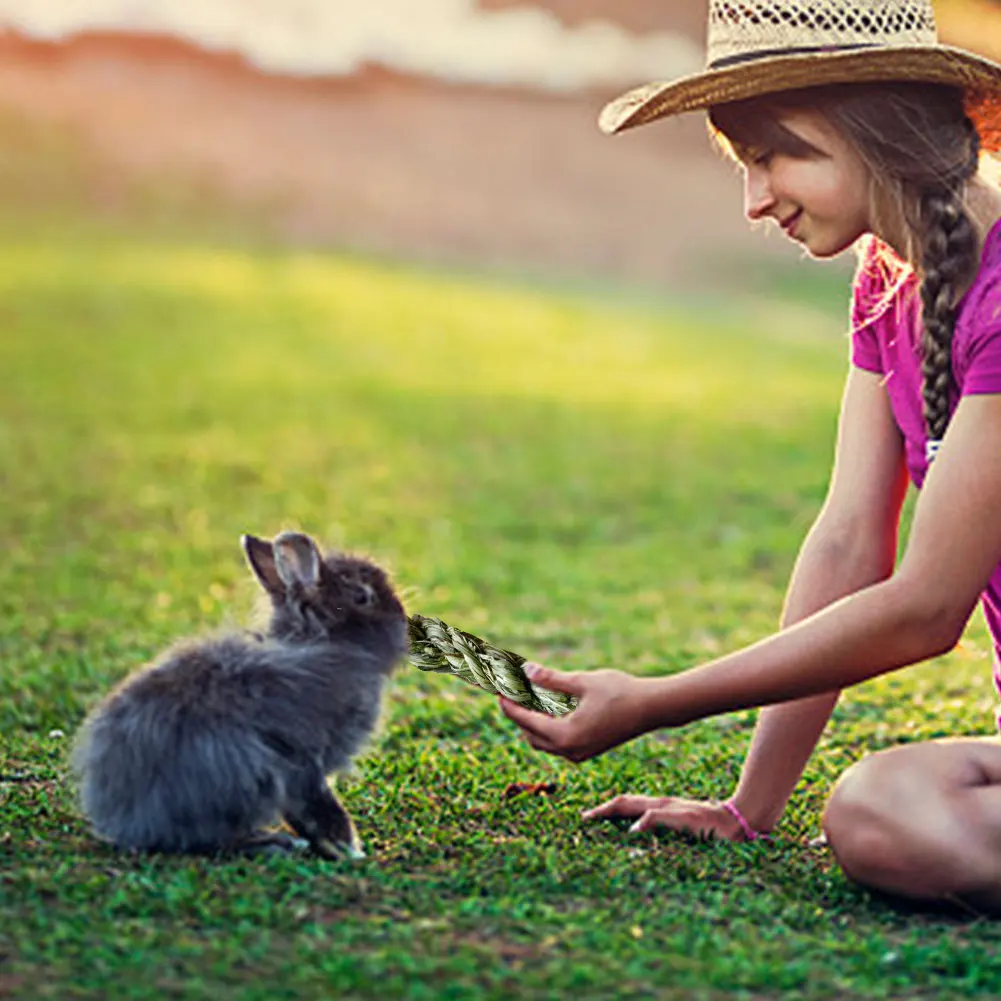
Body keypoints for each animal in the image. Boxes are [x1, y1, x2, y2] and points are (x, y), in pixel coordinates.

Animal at [70, 531, 408, 859]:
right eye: (363, 597)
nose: (404, 622)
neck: (326, 643)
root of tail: (128, 821)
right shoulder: (302, 759)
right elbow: (318, 808)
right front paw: (349, 850)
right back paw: (272, 844)